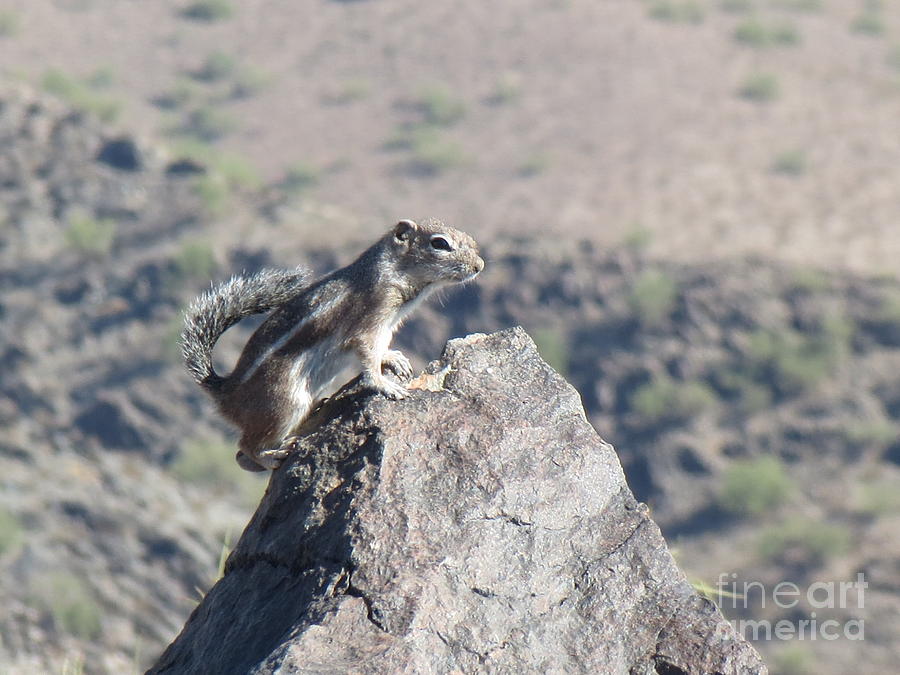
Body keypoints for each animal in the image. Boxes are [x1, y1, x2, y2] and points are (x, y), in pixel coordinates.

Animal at [181, 218, 484, 472]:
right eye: (439, 243)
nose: (479, 266)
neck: (393, 271)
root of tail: (226, 393)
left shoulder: (387, 325)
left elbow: (380, 348)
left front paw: (393, 358)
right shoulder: (370, 318)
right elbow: (368, 355)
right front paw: (385, 384)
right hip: (284, 402)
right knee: (246, 447)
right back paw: (274, 457)